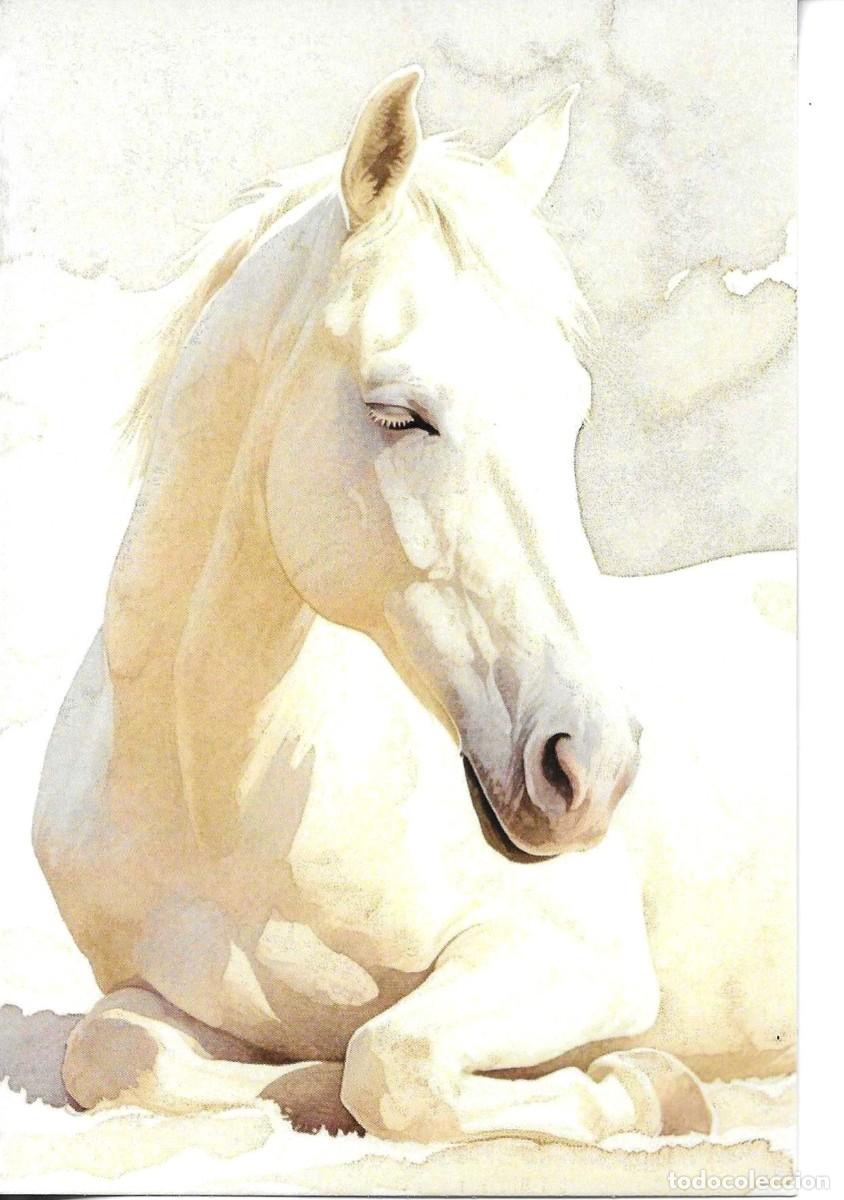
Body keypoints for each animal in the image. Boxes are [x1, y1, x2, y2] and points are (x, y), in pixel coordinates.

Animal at [33, 67, 795, 1143]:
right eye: (399, 415)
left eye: (571, 412)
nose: (593, 767)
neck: (224, 797)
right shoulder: (142, 997)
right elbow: (112, 1052)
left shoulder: (577, 958)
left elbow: (389, 1061)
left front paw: (647, 1087)